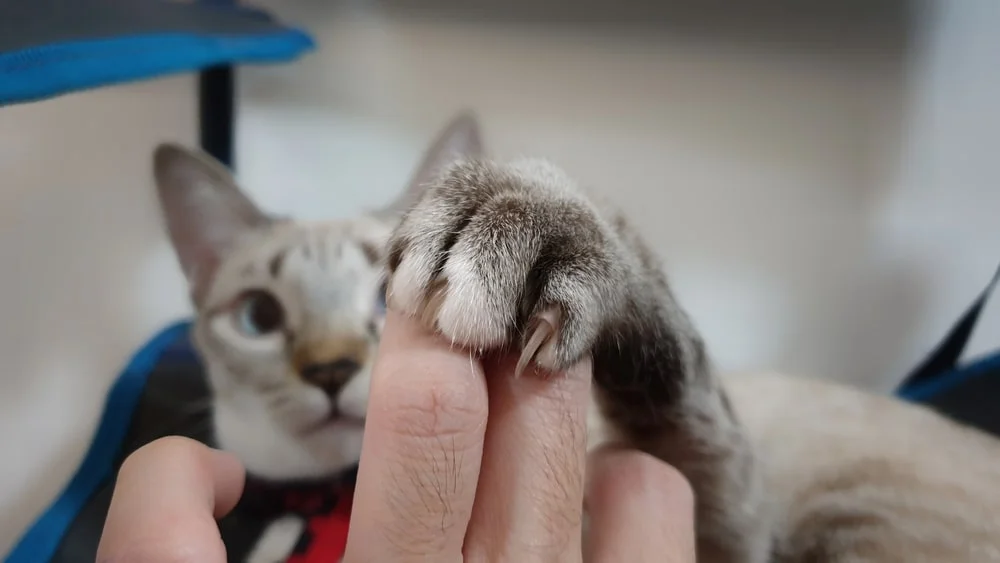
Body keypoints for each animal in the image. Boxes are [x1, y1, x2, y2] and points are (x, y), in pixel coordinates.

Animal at [152, 112, 1000, 560]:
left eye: (380, 294)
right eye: (260, 317)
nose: (330, 370)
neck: (337, 501)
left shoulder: (723, 525)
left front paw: (525, 222)